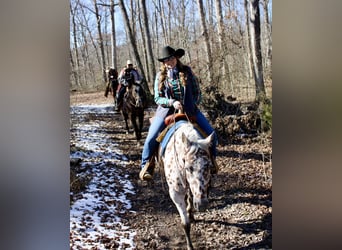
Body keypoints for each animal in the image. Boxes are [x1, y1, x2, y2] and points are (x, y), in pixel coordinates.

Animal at [157, 112, 215, 250]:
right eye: (188, 168)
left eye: (209, 166)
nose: (202, 205)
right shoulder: (175, 193)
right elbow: (185, 224)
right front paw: (190, 246)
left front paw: (191, 211)